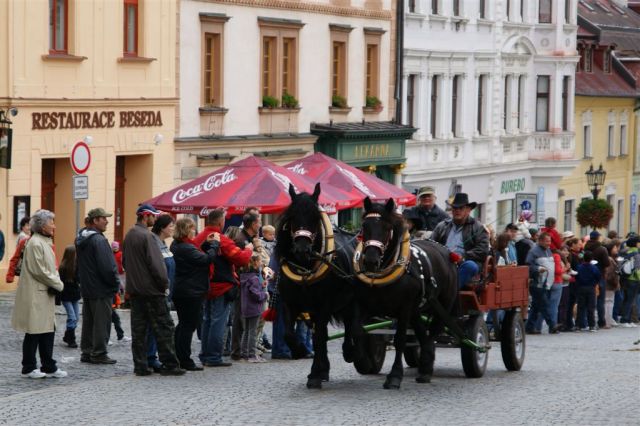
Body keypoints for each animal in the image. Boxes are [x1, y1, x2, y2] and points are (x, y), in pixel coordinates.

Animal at [274, 183, 358, 390]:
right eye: (292, 217)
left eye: (315, 218)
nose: (302, 250)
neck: (305, 268)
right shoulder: (290, 303)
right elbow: (289, 334)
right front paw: (299, 351)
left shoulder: (324, 306)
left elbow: (319, 337)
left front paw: (315, 375)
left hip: (350, 301)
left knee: (350, 324)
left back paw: (349, 352)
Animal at [352, 197, 458, 390]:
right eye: (364, 226)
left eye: (387, 228)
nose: (370, 261)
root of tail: (448, 253)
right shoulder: (363, 303)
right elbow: (357, 330)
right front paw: (361, 360)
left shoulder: (404, 308)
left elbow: (400, 339)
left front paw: (395, 376)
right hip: (416, 310)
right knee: (423, 336)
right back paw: (425, 367)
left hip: (442, 306)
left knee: (432, 333)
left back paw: (425, 368)